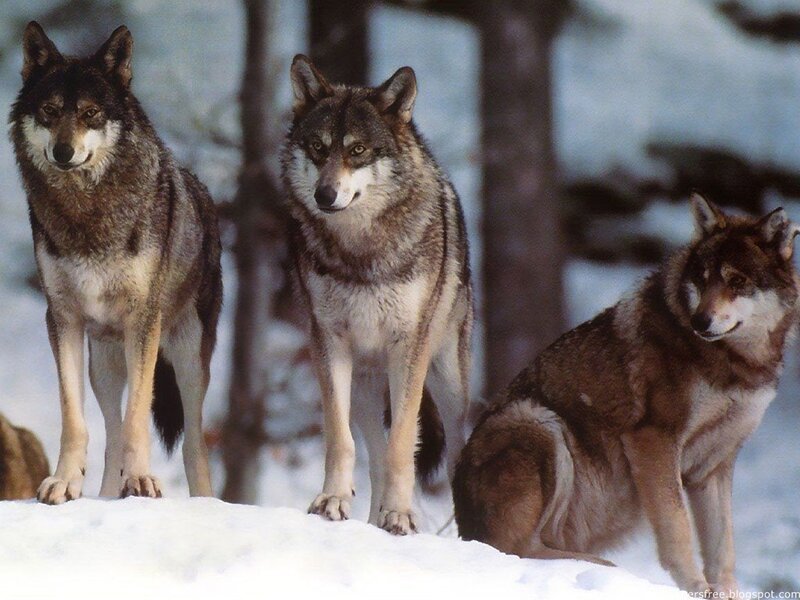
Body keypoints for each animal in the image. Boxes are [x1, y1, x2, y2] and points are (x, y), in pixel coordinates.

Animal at [9, 22, 222, 503]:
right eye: (50, 110)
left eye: (90, 113)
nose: (63, 151)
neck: (87, 214)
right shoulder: (62, 318)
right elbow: (74, 419)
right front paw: (63, 482)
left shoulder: (143, 321)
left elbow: (138, 418)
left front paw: (141, 480)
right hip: (103, 365)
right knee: (109, 433)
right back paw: (107, 496)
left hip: (187, 361)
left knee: (192, 442)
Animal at [281, 55, 473, 535]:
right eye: (318, 147)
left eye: (358, 151)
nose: (325, 194)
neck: (361, 252)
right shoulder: (328, 343)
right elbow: (340, 439)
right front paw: (331, 501)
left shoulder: (410, 348)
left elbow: (403, 443)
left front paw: (401, 514)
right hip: (366, 387)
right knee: (372, 454)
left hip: (448, 382)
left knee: (454, 450)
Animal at [453, 194, 800, 594]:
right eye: (702, 279)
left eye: (737, 281)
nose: (700, 321)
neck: (736, 364)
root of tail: (462, 523)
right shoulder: (653, 439)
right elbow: (677, 527)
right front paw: (693, 587)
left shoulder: (713, 466)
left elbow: (723, 548)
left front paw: (723, 593)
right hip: (537, 422)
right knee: (516, 548)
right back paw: (603, 568)